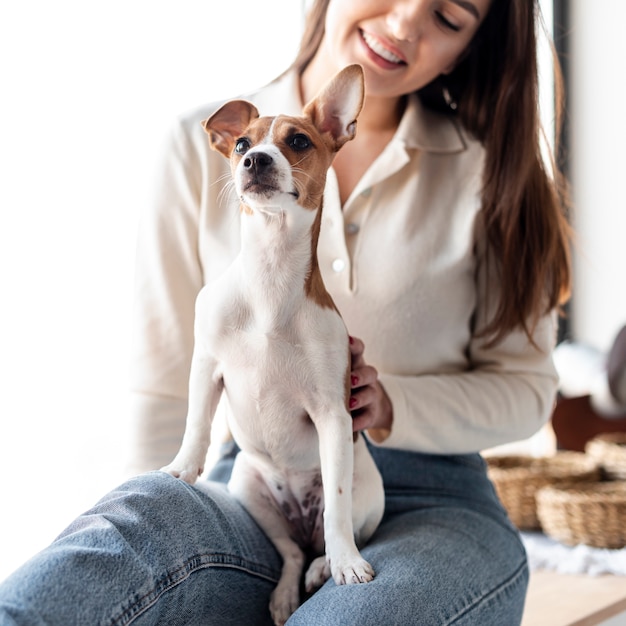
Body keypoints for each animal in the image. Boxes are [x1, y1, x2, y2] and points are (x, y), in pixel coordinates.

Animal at [160, 64, 386, 624]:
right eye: (242, 142)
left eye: (299, 141)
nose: (255, 159)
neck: (271, 276)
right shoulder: (206, 365)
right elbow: (196, 424)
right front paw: (182, 469)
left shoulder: (333, 416)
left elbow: (338, 513)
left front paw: (349, 565)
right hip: (250, 487)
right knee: (288, 552)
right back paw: (286, 591)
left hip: (366, 494)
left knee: (323, 535)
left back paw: (326, 565)